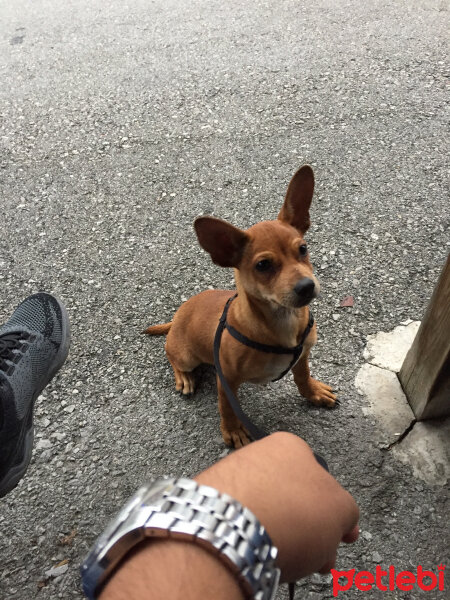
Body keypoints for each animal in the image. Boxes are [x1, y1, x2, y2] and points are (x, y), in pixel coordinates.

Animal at [142, 166, 336, 448]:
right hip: (186, 356)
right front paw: (232, 431)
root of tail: (177, 316)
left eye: (303, 249)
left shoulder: (303, 356)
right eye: (263, 265)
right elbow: (227, 408)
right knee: (172, 357)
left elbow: (302, 376)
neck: (282, 320)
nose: (307, 286)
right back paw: (184, 378)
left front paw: (313, 392)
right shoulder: (227, 381)